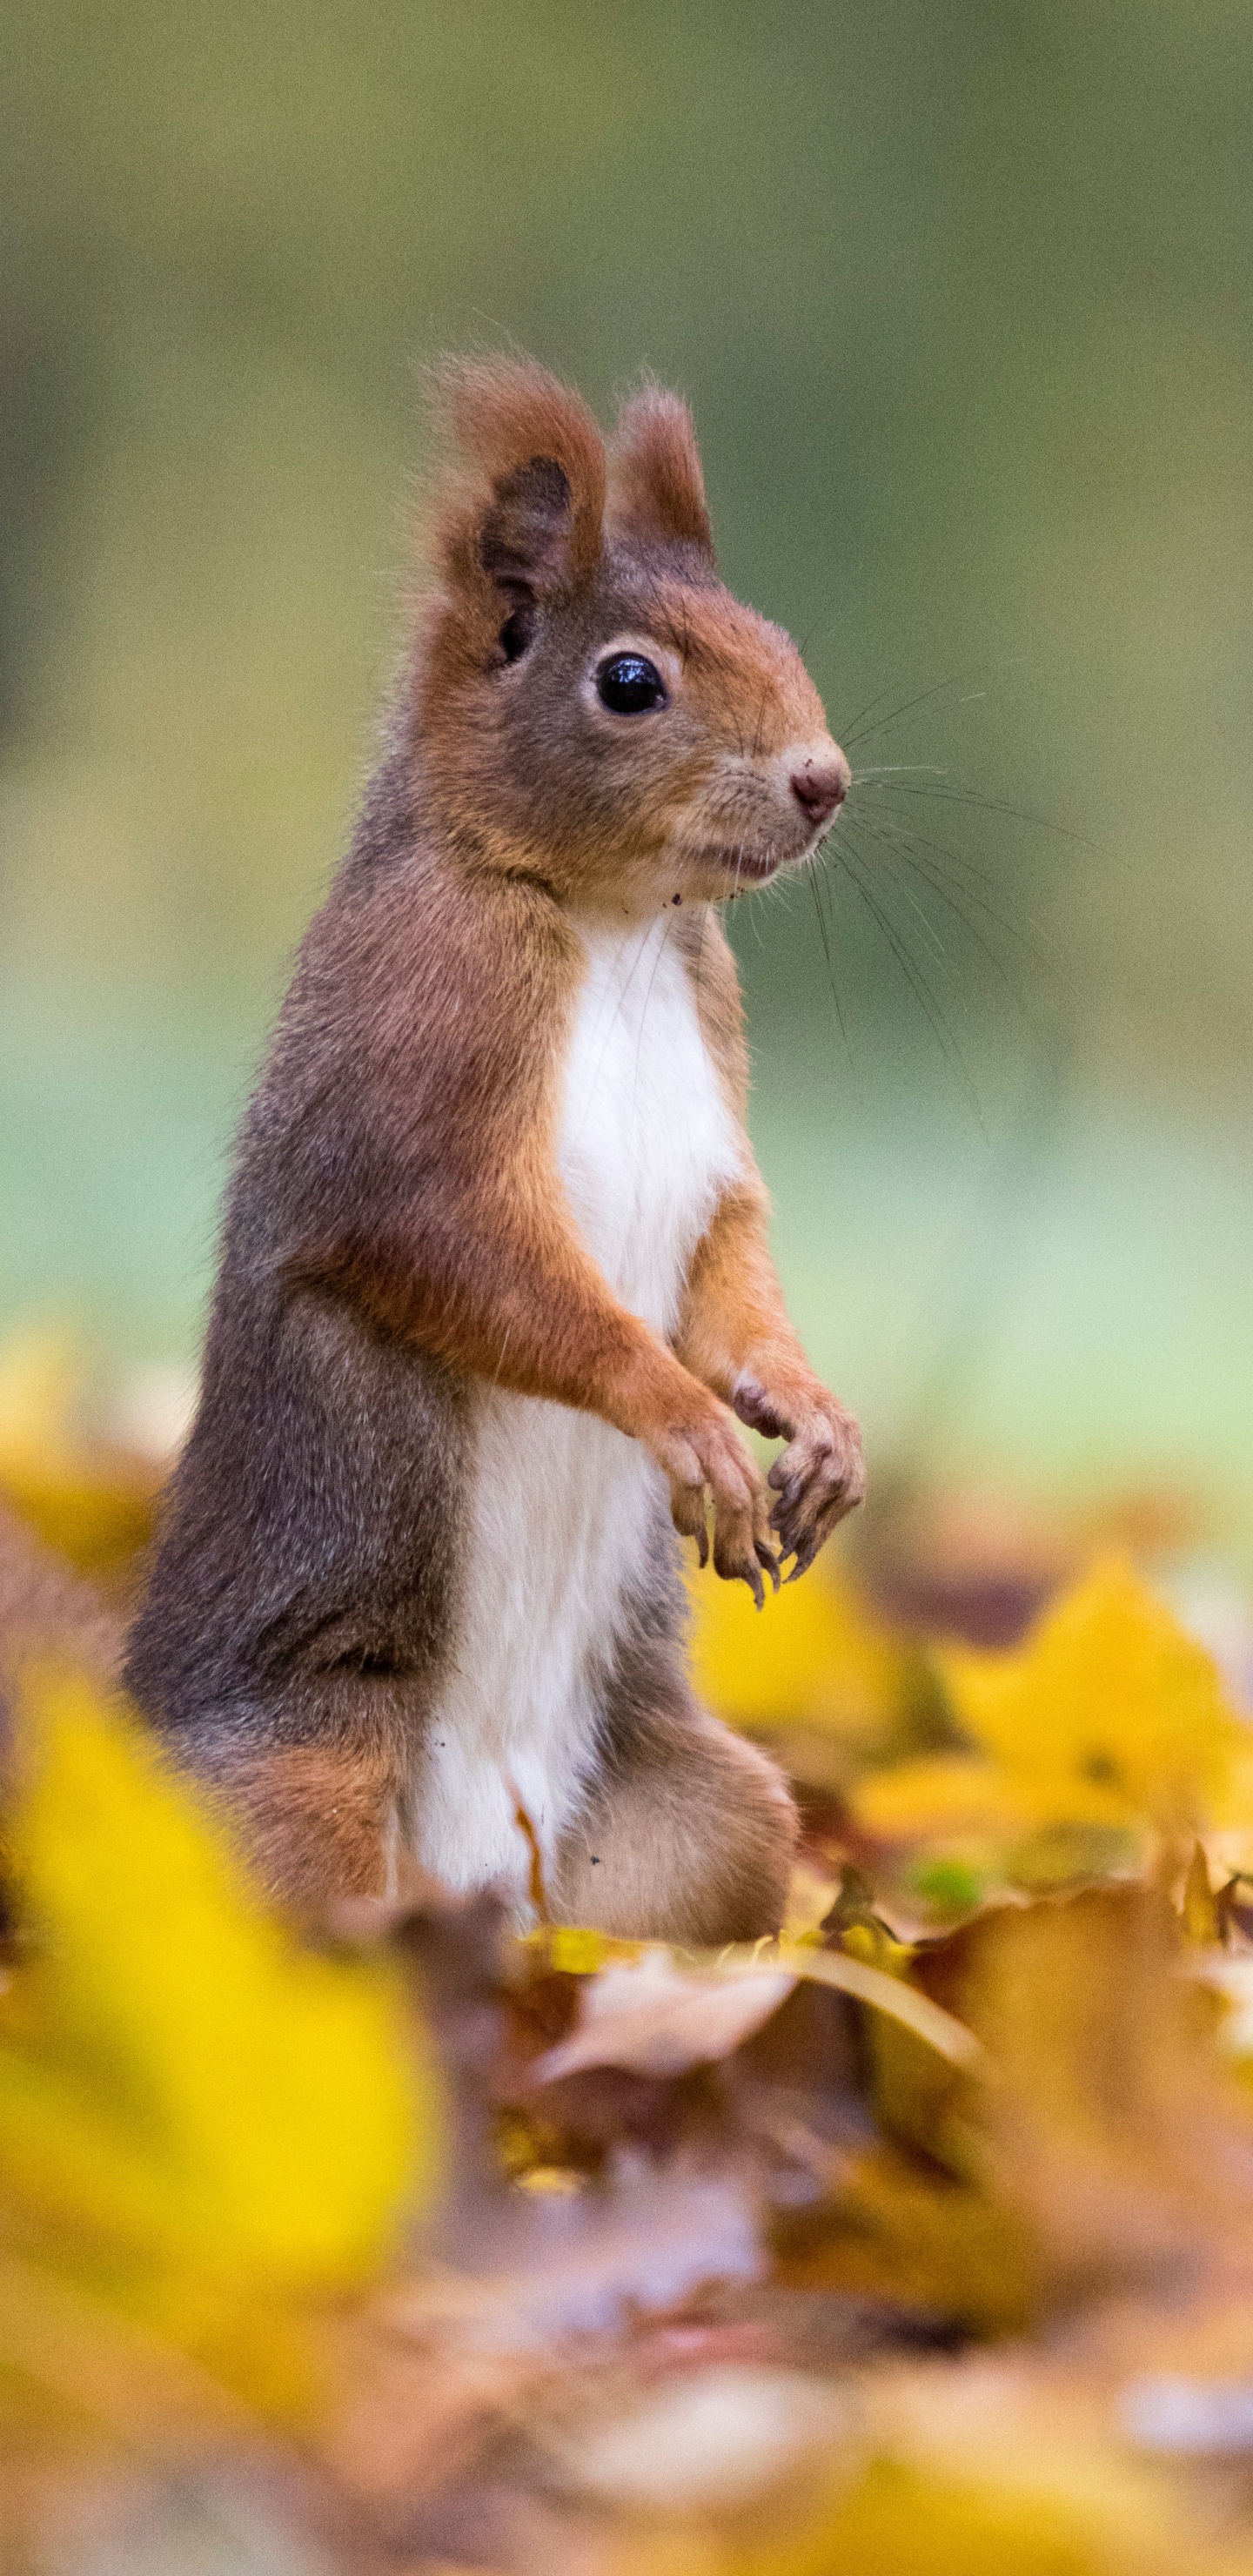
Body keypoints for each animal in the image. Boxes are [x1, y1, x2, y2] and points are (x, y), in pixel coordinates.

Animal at [123, 358, 865, 1944]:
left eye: (773, 633)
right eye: (629, 681)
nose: (824, 780)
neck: (619, 925)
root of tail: (475, 1895)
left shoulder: (716, 1097)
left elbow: (733, 1262)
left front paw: (810, 1415)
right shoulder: (422, 1046)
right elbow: (466, 1256)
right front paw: (681, 1416)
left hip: (707, 1828)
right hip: (294, 1797)